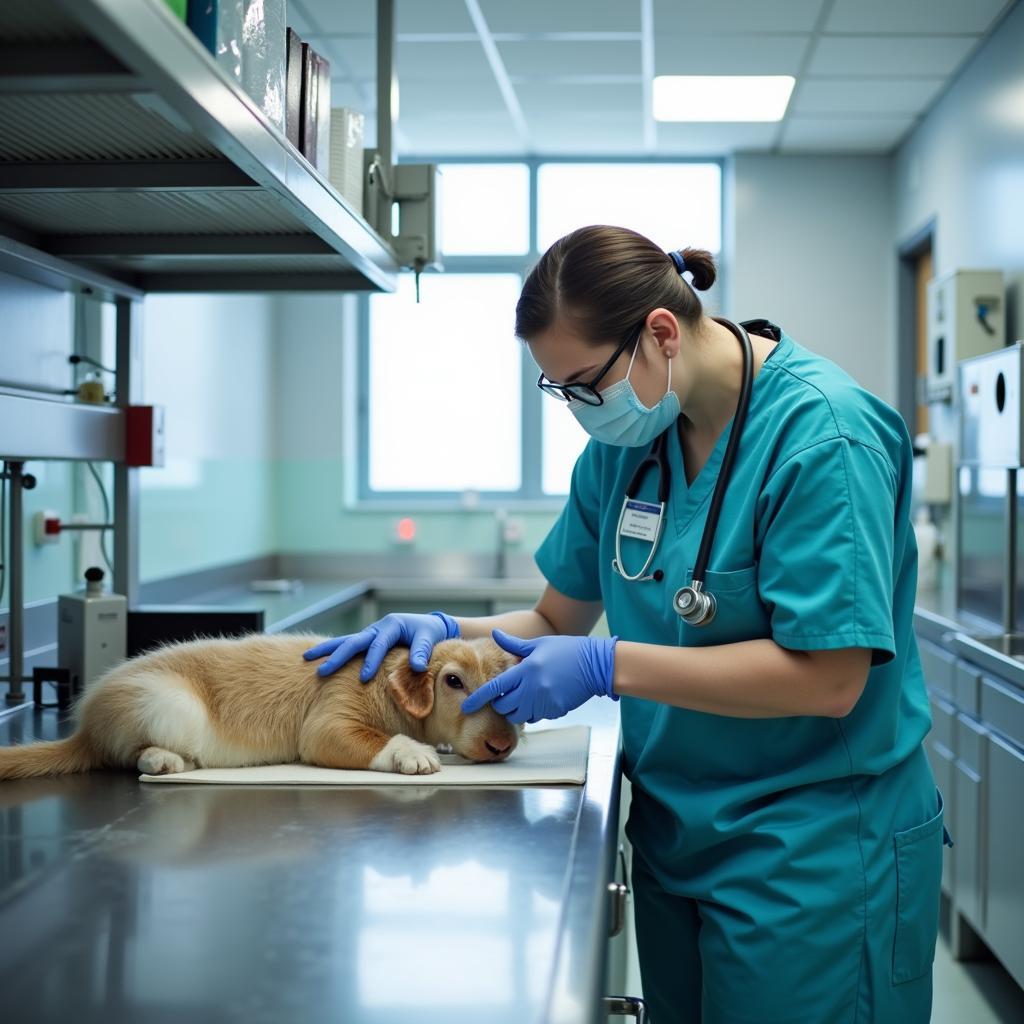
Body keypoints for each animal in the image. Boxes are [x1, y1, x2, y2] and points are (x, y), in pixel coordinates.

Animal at [0, 630, 520, 774]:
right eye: (452, 681)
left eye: (507, 687)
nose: (501, 747)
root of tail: (85, 728)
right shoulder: (330, 721)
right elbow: (375, 740)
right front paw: (413, 752)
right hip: (170, 708)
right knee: (130, 755)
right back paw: (163, 760)